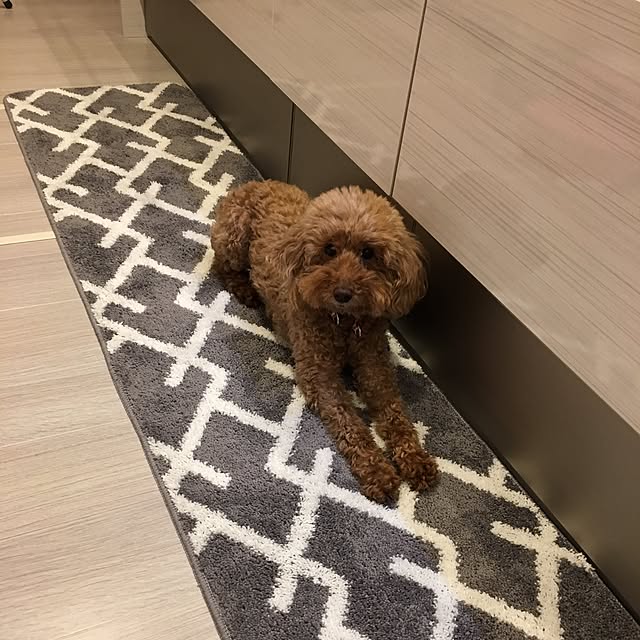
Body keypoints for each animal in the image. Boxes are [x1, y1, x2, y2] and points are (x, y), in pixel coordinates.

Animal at [211, 180, 438, 502]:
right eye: (329, 249)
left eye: (368, 253)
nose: (342, 293)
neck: (344, 325)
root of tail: (254, 183)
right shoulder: (319, 375)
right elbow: (349, 423)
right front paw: (377, 471)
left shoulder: (374, 364)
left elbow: (395, 412)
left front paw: (415, 459)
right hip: (232, 239)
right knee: (221, 265)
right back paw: (244, 289)